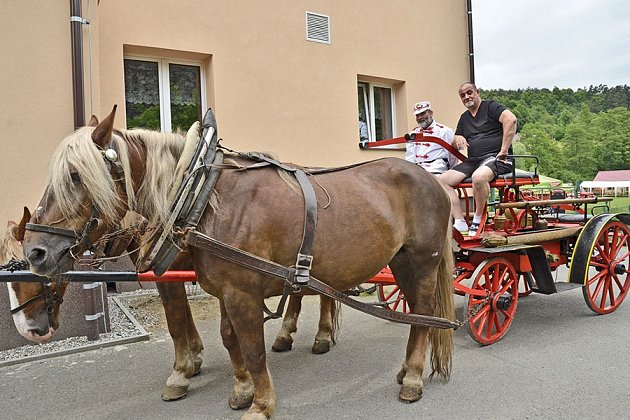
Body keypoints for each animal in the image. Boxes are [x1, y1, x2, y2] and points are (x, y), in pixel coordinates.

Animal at [23, 106, 454, 420]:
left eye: (75, 176)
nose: (35, 251)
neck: (201, 197)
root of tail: (432, 180)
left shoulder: (242, 293)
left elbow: (251, 347)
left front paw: (260, 405)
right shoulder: (225, 290)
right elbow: (230, 340)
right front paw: (241, 390)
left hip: (422, 261)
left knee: (425, 314)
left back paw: (413, 379)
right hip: (399, 264)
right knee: (414, 313)